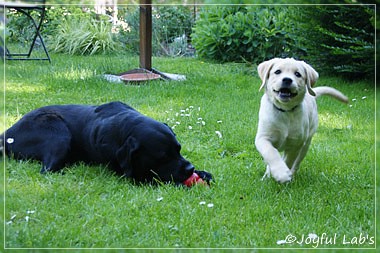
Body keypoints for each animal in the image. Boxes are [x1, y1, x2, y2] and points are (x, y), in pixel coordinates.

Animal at [1, 102, 212, 185]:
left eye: (179, 149)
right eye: (163, 156)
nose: (189, 168)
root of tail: (7, 133)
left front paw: (203, 173)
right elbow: (151, 178)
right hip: (57, 131)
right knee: (47, 169)